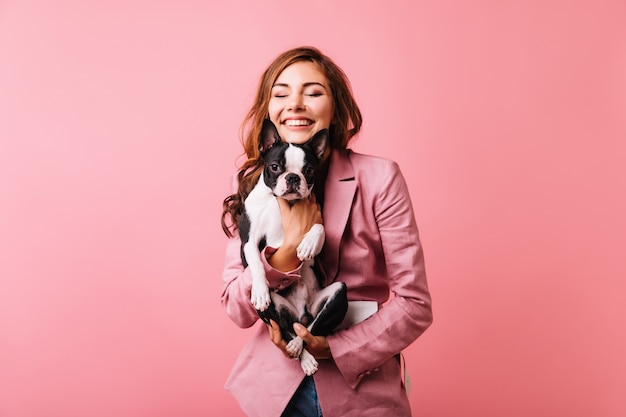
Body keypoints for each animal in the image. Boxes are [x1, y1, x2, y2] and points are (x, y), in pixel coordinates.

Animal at [238, 119, 346, 374]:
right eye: (275, 166)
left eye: (308, 170)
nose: (293, 178)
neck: (280, 201)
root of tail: (301, 314)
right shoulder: (249, 240)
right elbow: (257, 262)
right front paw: (259, 290)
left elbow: (320, 227)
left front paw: (307, 245)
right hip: (271, 311)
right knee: (288, 330)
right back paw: (302, 355)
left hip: (338, 295)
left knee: (310, 330)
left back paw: (301, 347)